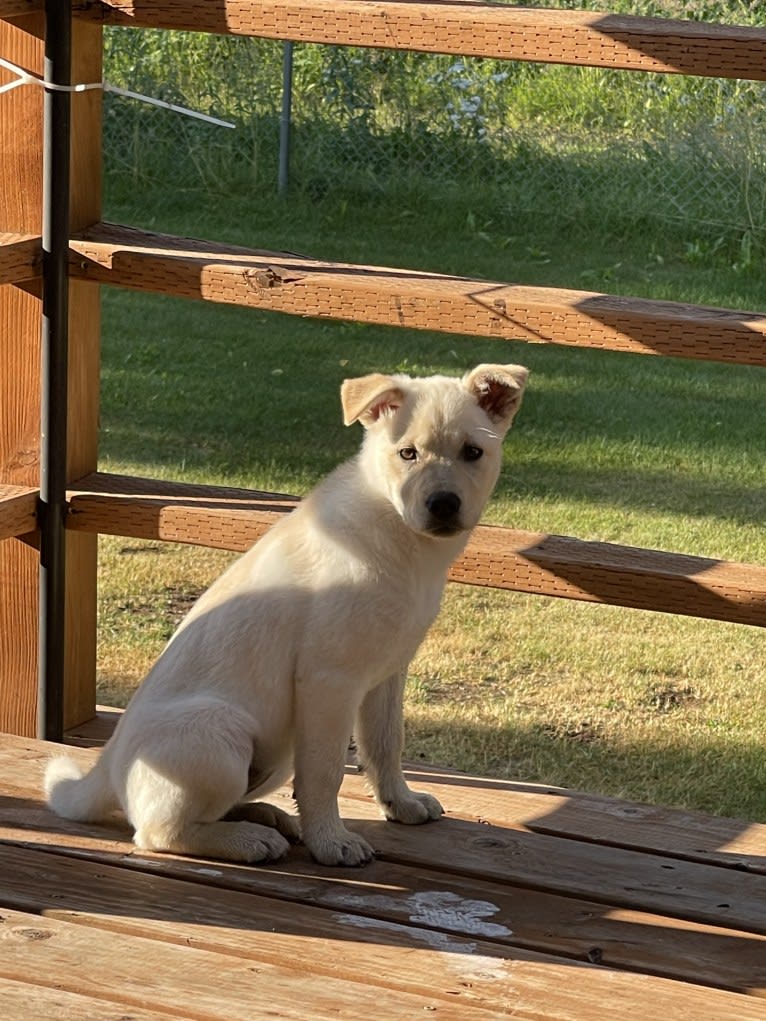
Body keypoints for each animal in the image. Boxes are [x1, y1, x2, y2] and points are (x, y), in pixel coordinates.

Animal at [46, 363, 527, 865]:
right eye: (407, 453)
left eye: (472, 452)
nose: (443, 504)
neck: (400, 537)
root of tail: (103, 770)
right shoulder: (328, 681)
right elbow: (325, 774)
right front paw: (331, 842)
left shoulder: (387, 675)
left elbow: (385, 746)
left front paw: (401, 803)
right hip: (221, 734)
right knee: (157, 831)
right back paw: (249, 840)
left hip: (273, 756)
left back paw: (265, 817)